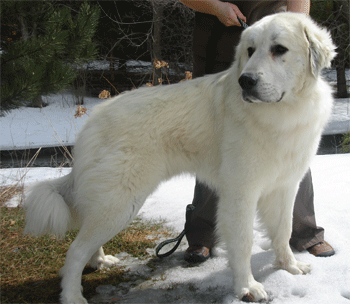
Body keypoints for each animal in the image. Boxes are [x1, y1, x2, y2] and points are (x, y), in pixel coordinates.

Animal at [24, 12, 336, 304]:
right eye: (250, 50)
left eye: (279, 49)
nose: (245, 81)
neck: (284, 113)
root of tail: (93, 121)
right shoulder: (241, 193)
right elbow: (244, 241)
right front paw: (247, 287)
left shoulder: (285, 186)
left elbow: (283, 231)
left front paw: (289, 267)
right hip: (120, 202)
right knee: (75, 250)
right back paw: (73, 295)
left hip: (111, 204)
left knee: (86, 239)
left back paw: (99, 261)